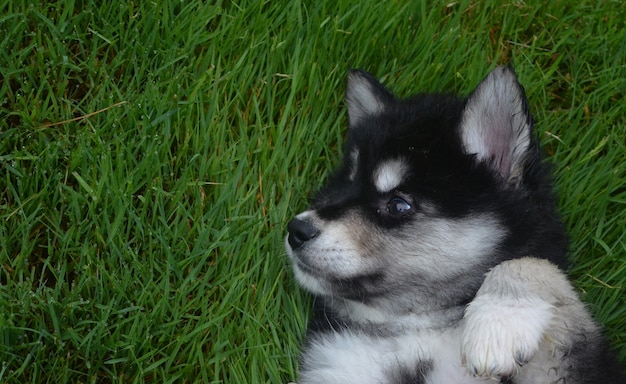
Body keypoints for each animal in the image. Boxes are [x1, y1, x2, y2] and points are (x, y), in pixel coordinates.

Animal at [286, 67, 620, 382]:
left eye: (398, 205)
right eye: (343, 186)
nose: (296, 230)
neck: (416, 324)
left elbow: (535, 266)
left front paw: (497, 321)